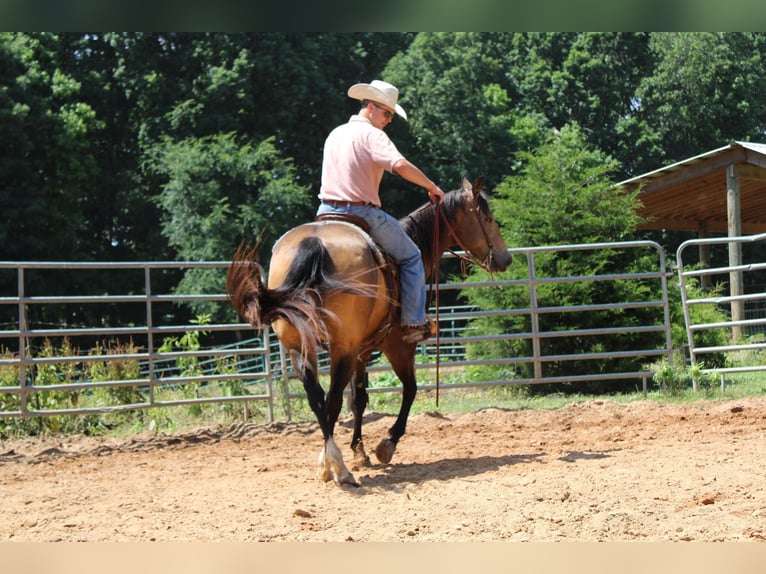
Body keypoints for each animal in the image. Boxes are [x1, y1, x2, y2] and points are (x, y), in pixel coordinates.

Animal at [228, 176, 516, 486]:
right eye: (488, 218)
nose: (506, 259)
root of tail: (313, 242)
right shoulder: (397, 345)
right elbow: (410, 389)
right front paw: (387, 443)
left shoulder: (361, 351)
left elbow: (360, 399)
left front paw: (359, 451)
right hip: (343, 347)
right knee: (332, 400)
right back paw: (338, 467)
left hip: (300, 345)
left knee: (318, 398)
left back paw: (329, 462)